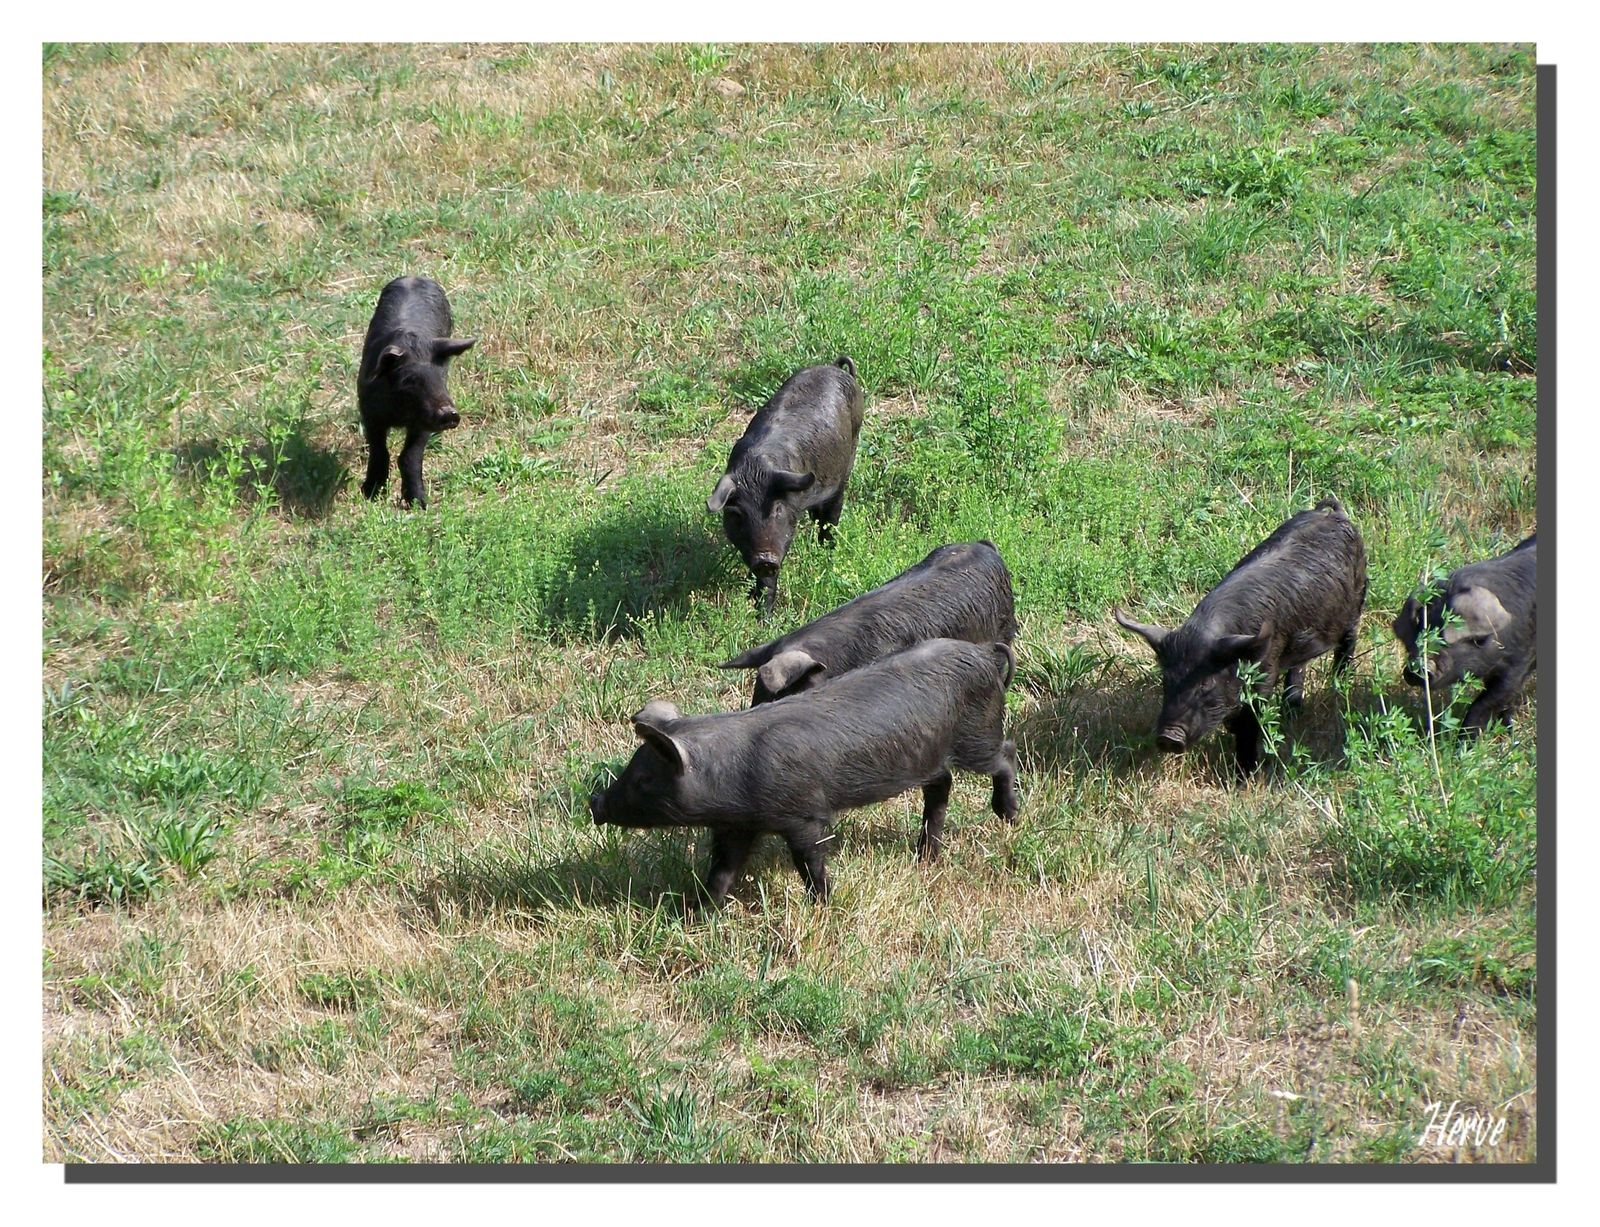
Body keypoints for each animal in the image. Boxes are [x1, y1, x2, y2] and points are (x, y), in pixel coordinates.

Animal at [357, 276, 477, 509]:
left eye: (441, 376)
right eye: (409, 380)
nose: (449, 413)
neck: (400, 414)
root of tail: (414, 276)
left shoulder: (423, 422)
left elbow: (410, 456)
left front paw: (420, 504)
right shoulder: (369, 411)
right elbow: (379, 450)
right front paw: (370, 495)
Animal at [588, 637, 1020, 903]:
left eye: (644, 779)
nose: (595, 802)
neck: (730, 774)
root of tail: (984, 653)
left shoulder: (804, 815)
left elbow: (809, 862)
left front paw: (825, 903)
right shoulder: (738, 826)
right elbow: (722, 870)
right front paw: (700, 911)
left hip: (977, 736)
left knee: (1006, 754)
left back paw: (1008, 816)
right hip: (931, 756)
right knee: (941, 786)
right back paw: (926, 856)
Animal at [707, 357, 864, 613]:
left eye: (777, 509)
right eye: (738, 514)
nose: (765, 559)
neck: (755, 469)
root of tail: (835, 368)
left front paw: (763, 614)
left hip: (850, 456)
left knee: (832, 514)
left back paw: (827, 550)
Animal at [1113, 496, 1368, 775]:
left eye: (1205, 684)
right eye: (1166, 680)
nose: (1168, 737)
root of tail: (1335, 514)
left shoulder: (1266, 668)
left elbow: (1250, 721)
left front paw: (1244, 774)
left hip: (1357, 603)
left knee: (1347, 644)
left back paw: (1338, 684)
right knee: (1299, 665)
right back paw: (1292, 710)